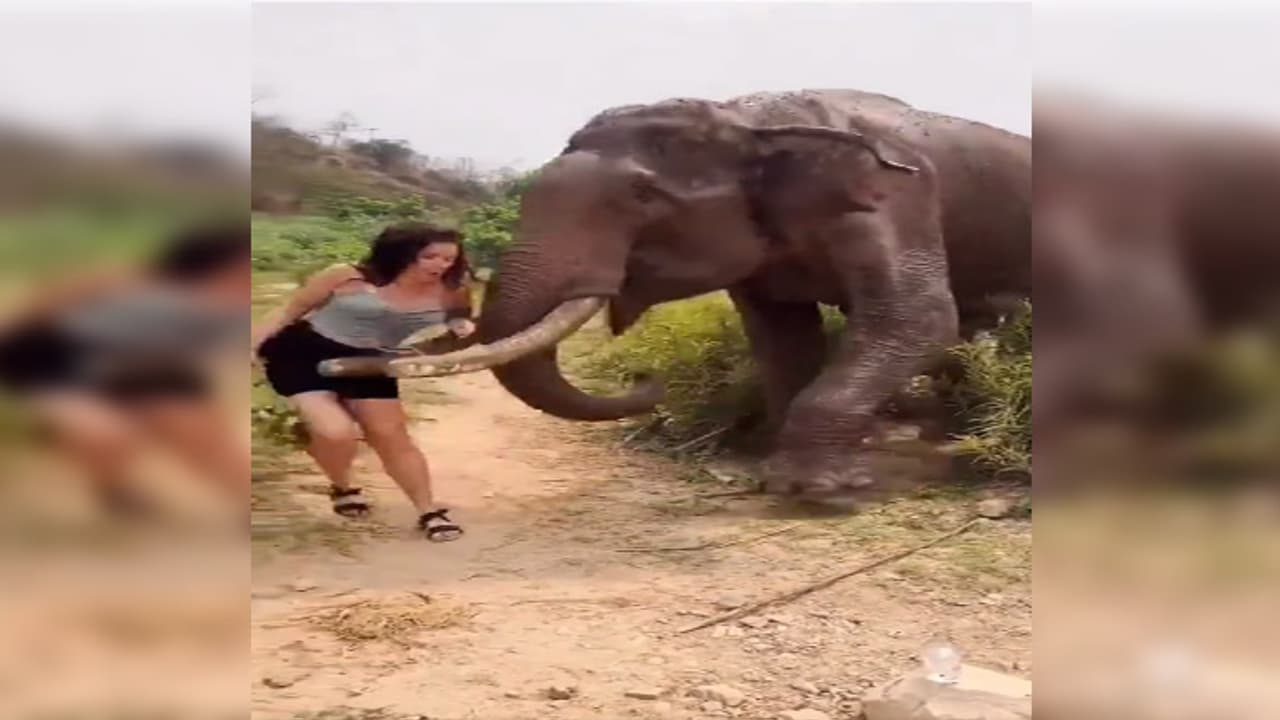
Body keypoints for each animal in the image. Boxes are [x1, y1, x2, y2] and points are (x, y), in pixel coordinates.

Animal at [329, 90, 1032, 501]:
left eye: (643, 196)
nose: (648, 380)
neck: (749, 117)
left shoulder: (895, 196)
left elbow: (918, 315)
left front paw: (818, 490)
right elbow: (781, 335)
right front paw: (775, 468)